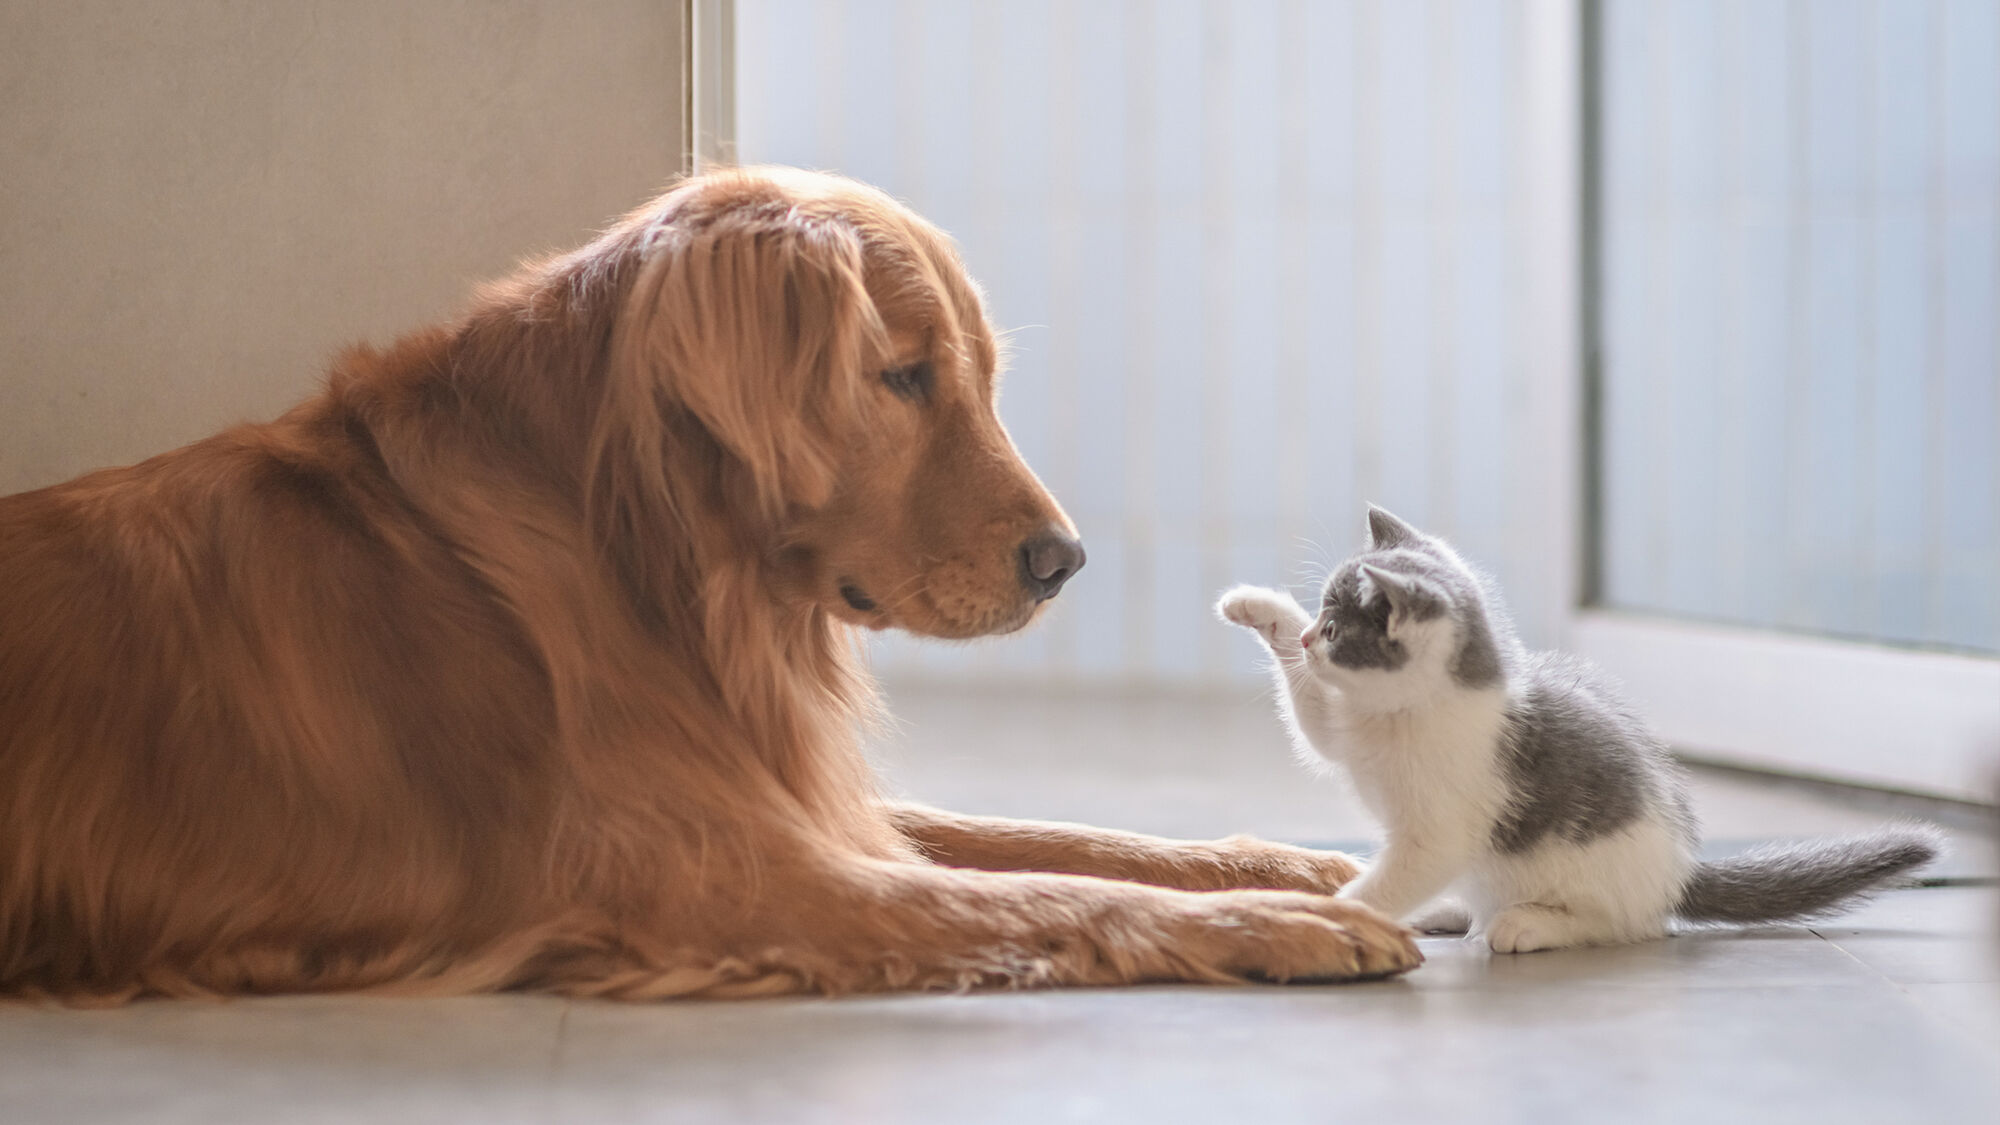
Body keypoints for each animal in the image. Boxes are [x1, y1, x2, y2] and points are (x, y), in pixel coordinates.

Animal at [1208, 504, 1944, 948]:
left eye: (1336, 629)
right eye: (1318, 616)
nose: (1312, 636)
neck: (1406, 714)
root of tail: (1680, 868)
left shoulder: (1441, 830)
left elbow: (1400, 873)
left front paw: (1336, 912)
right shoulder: (1346, 729)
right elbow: (1312, 718)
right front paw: (1256, 607)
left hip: (1597, 874)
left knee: (1622, 924)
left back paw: (1527, 924)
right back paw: (1446, 910)